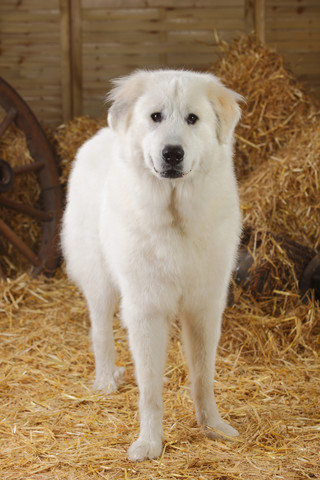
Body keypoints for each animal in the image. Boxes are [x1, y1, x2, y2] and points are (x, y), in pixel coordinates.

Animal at [61, 68, 241, 462]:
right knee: (100, 331)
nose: (172, 153)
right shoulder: (146, 310)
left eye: (192, 119)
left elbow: (203, 376)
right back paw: (106, 380)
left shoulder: (204, 307)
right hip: (101, 281)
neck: (174, 218)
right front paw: (149, 443)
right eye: (155, 116)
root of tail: (98, 136)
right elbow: (150, 391)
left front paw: (212, 426)